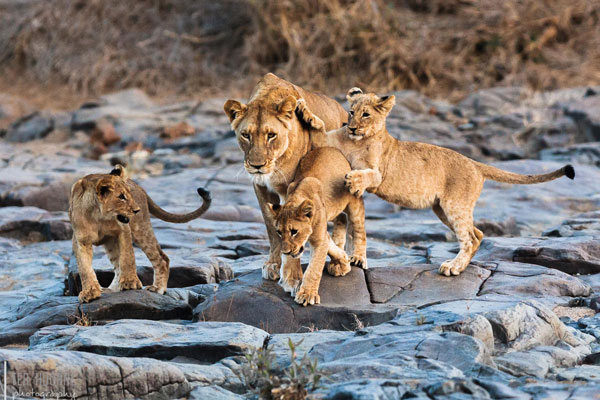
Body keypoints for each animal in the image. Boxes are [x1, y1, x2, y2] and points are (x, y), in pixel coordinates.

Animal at [224, 73, 346, 282]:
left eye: (271, 135)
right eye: (246, 135)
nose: (257, 166)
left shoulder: (295, 184)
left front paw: (292, 274)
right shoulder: (260, 187)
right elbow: (272, 226)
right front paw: (273, 264)